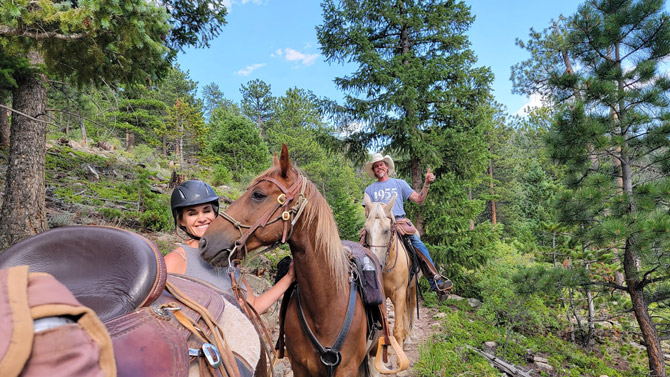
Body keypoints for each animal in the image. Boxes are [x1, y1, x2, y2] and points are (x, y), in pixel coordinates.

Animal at [364, 194, 418, 350]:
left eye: (387, 230)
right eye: (366, 230)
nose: (376, 263)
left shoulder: (399, 292)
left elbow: (397, 330)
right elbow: (385, 330)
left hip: (412, 287)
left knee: (411, 307)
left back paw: (410, 336)